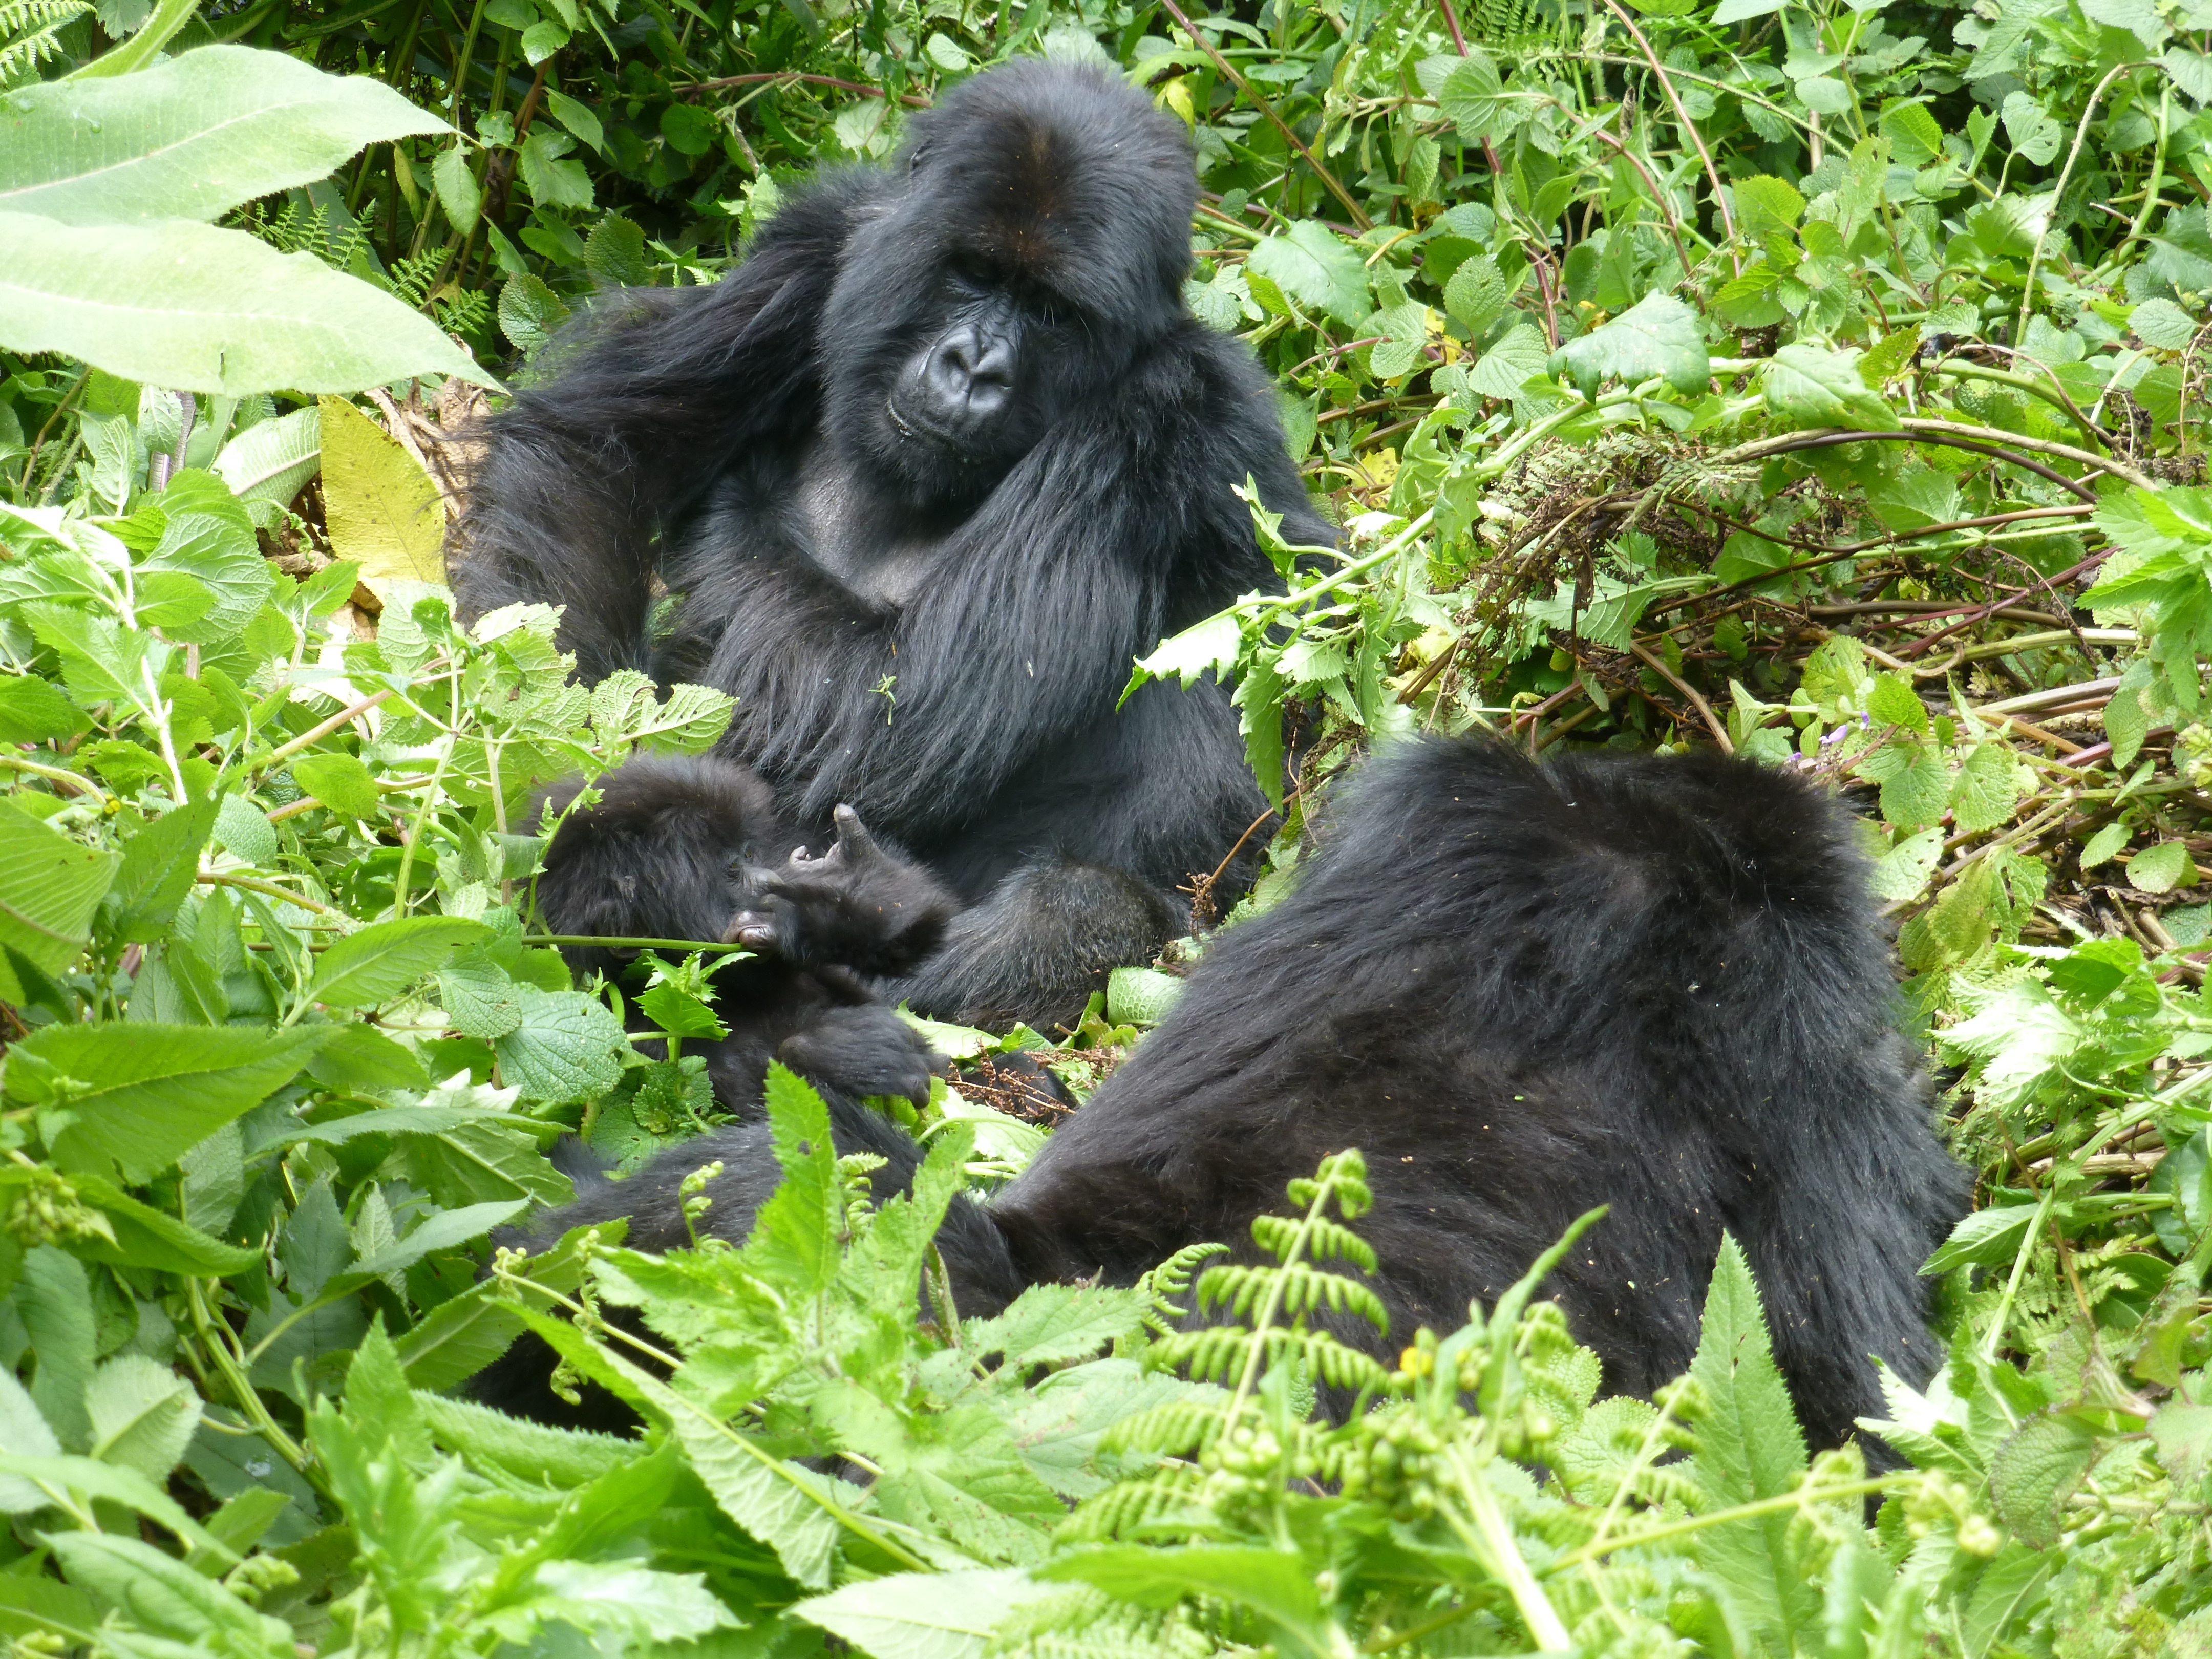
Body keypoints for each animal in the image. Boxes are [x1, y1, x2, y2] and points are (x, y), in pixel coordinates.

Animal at [440, 65, 1318, 1035]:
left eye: (1052, 312)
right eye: (973, 272)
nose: (974, 369)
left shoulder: (1169, 416)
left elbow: (893, 704)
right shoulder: (813, 247)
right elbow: (590, 455)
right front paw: (555, 741)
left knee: (1088, 906)